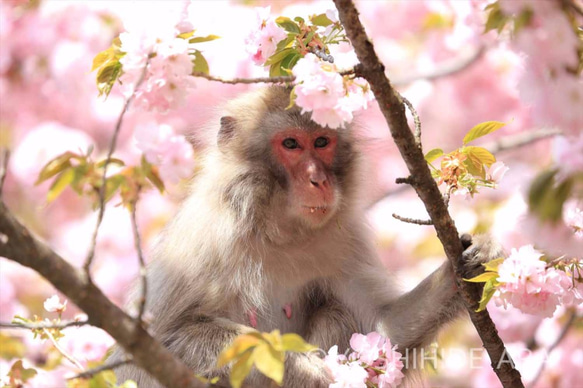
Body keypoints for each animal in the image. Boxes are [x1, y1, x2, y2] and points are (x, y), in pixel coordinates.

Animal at [113, 86, 502, 386]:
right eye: (291, 144)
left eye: (322, 141)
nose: (319, 180)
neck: (278, 230)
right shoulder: (202, 240)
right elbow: (156, 347)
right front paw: (305, 370)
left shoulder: (346, 241)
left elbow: (383, 325)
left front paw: (470, 265)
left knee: (337, 310)